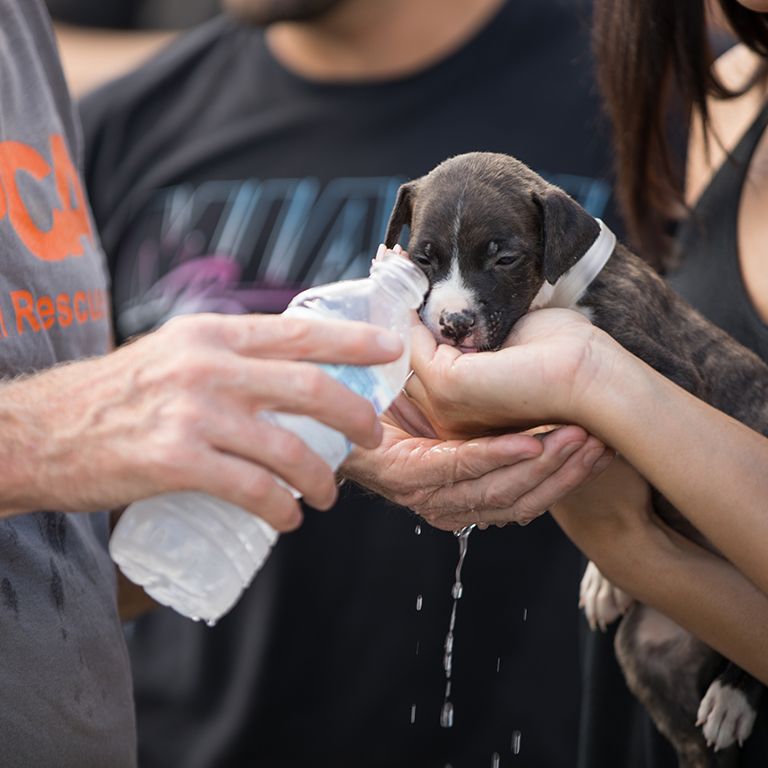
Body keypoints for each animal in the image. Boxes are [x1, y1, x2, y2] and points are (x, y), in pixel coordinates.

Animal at [384, 152, 768, 768]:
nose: (452, 324)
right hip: (649, 655)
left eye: (505, 258)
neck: (558, 292)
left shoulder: (669, 372)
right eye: (423, 258)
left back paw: (733, 694)